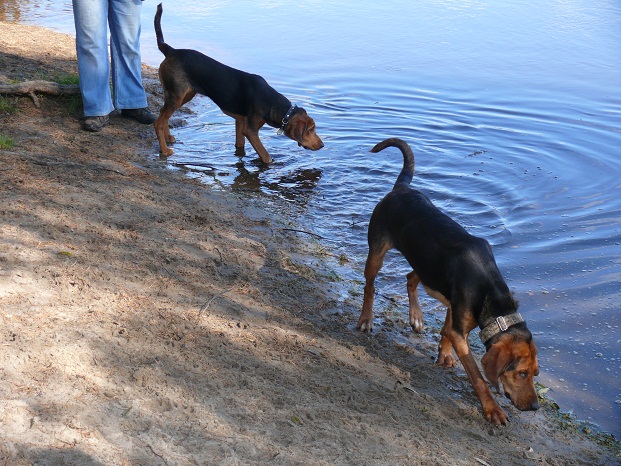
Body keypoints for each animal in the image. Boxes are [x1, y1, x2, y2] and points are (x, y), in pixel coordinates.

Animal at [152, 3, 322, 162]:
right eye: (310, 130)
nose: (322, 145)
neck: (272, 103)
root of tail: (171, 51)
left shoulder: (240, 122)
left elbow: (240, 145)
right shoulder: (251, 131)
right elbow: (266, 156)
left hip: (184, 95)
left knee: (162, 113)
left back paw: (168, 138)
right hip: (177, 96)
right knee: (158, 122)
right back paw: (165, 150)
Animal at [356, 138, 540, 426]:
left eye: (536, 373)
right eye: (521, 373)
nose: (534, 407)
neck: (492, 297)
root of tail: (401, 189)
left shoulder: (455, 309)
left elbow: (445, 330)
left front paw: (444, 354)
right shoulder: (460, 327)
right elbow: (477, 376)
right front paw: (492, 409)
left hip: (426, 265)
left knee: (410, 279)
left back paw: (417, 316)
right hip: (377, 253)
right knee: (370, 286)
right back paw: (366, 318)